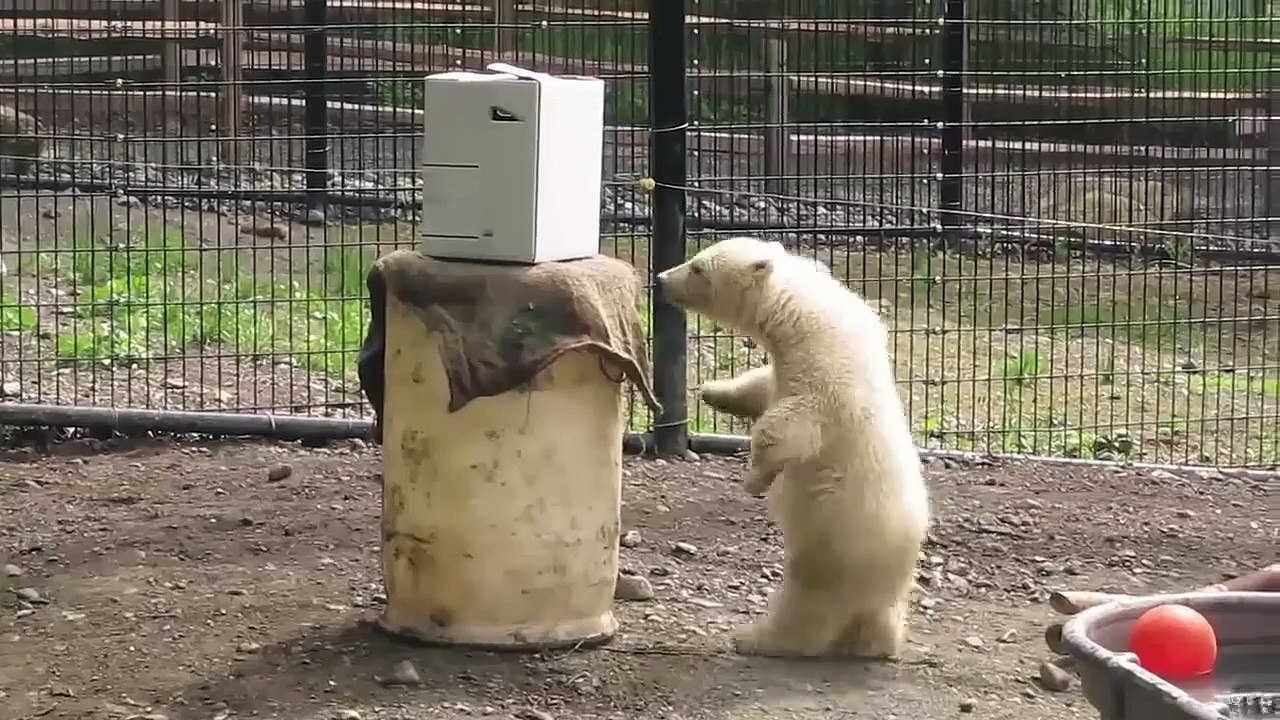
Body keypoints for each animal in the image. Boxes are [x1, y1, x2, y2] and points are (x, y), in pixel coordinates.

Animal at [655, 237, 929, 659]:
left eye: (698, 267)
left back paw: (754, 637)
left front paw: (755, 479)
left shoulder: (826, 383)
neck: (807, 314)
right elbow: (763, 386)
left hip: (835, 547)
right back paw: (876, 643)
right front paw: (714, 392)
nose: (660, 279)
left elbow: (785, 428)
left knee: (808, 607)